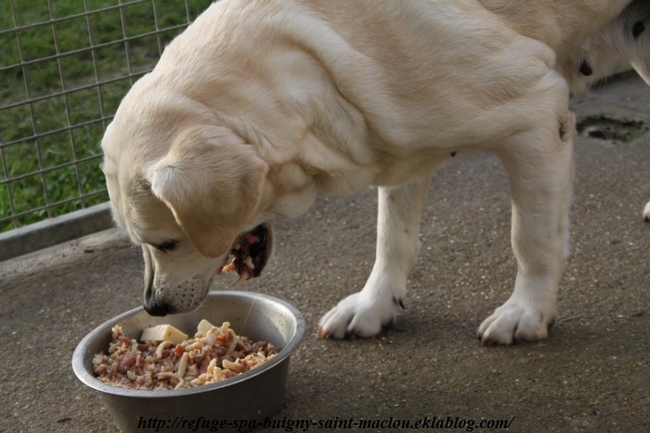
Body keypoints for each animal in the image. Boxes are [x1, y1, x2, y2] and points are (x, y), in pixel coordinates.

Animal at [102, 0, 648, 344]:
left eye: (167, 243)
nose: (153, 306)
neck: (313, 65)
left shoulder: (536, 114)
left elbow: (531, 240)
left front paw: (527, 313)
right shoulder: (396, 140)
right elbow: (392, 238)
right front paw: (374, 305)